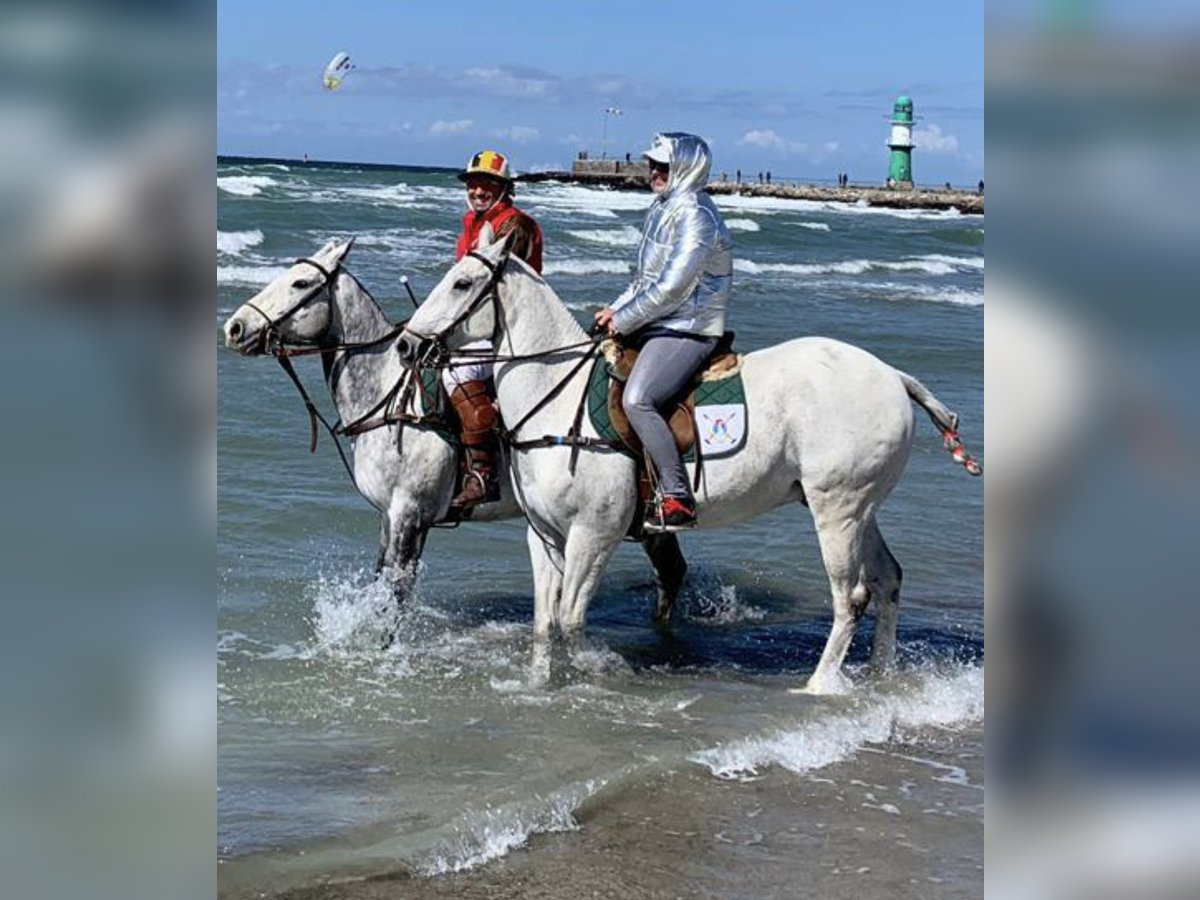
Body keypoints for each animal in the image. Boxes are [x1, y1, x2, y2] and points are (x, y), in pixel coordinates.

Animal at [216, 240, 686, 628]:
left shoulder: (409, 513)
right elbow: (382, 582)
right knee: (671, 569)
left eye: (300, 282)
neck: (387, 396)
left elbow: (398, 591)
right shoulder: (389, 517)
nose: (234, 328)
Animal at [398, 237, 979, 691]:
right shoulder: (544, 536)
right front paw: (542, 683)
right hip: (862, 510)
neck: (556, 399)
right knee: (888, 580)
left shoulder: (594, 533)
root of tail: (893, 376)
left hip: (836, 510)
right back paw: (881, 674)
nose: (405, 345)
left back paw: (819, 683)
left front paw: (602, 667)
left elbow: (570, 618)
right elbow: (545, 624)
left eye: (462, 283)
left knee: (851, 596)